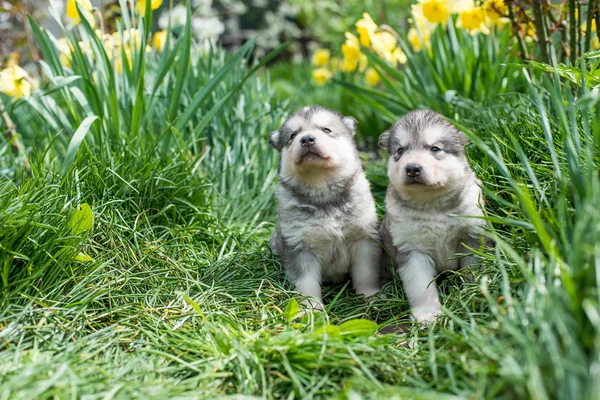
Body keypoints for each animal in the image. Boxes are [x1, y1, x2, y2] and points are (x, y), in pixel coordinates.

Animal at [268, 104, 380, 308]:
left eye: (326, 130)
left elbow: (367, 273)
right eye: (293, 135)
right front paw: (311, 308)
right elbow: (307, 283)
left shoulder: (364, 239)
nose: (307, 139)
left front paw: (371, 297)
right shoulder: (300, 247)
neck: (321, 190)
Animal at [380, 108, 488, 322]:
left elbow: (473, 269)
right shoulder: (412, 248)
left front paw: (472, 293)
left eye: (435, 149)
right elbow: (420, 287)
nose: (412, 168)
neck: (432, 204)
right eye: (400, 151)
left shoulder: (472, 236)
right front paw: (427, 315)